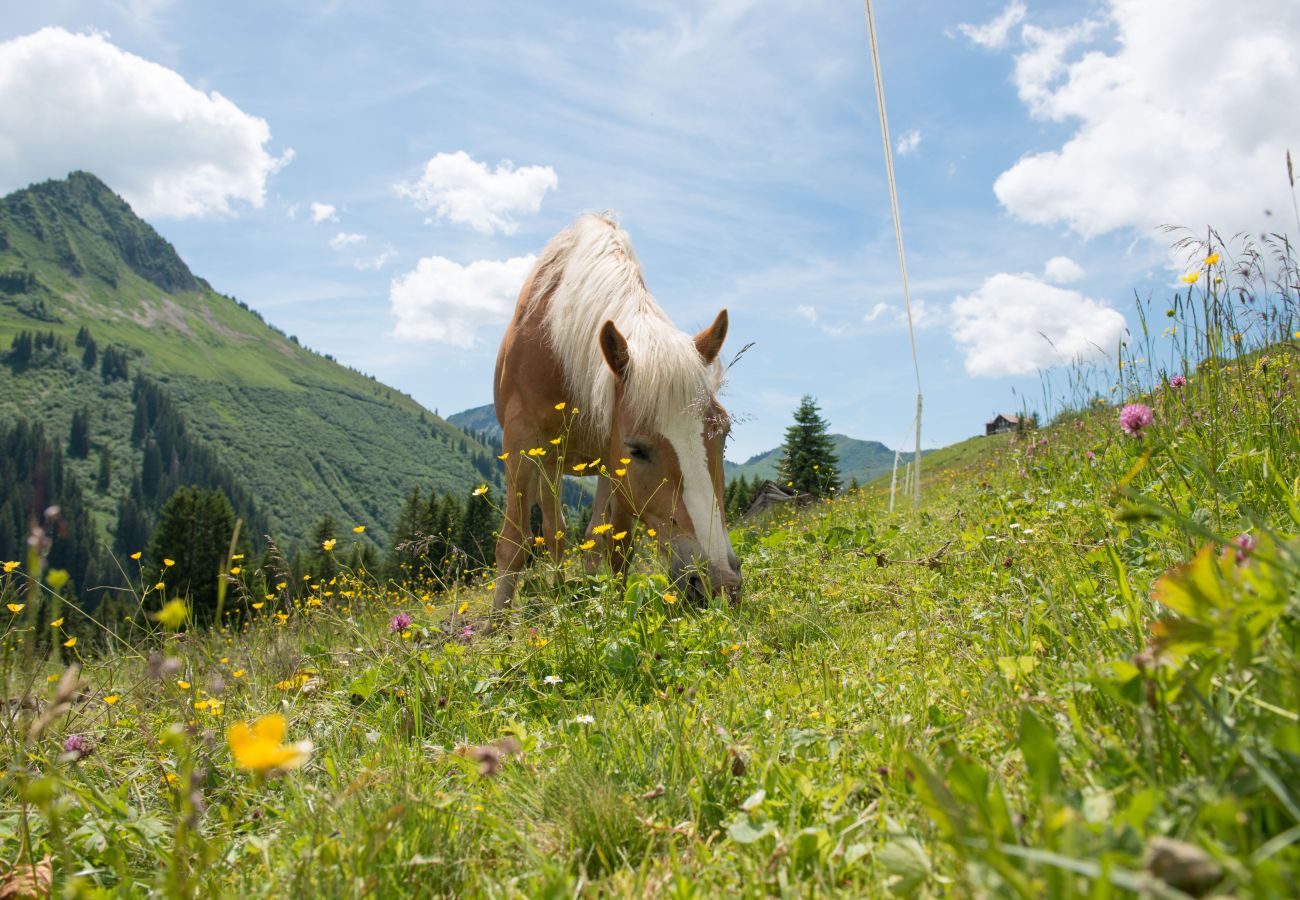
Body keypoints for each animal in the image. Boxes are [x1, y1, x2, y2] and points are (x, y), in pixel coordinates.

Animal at [491, 213, 743, 608]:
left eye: (724, 434)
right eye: (637, 449)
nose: (719, 582)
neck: (555, 344)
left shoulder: (610, 458)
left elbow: (614, 544)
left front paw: (614, 602)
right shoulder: (519, 439)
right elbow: (513, 544)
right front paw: (497, 619)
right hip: (547, 461)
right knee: (553, 530)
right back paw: (558, 592)